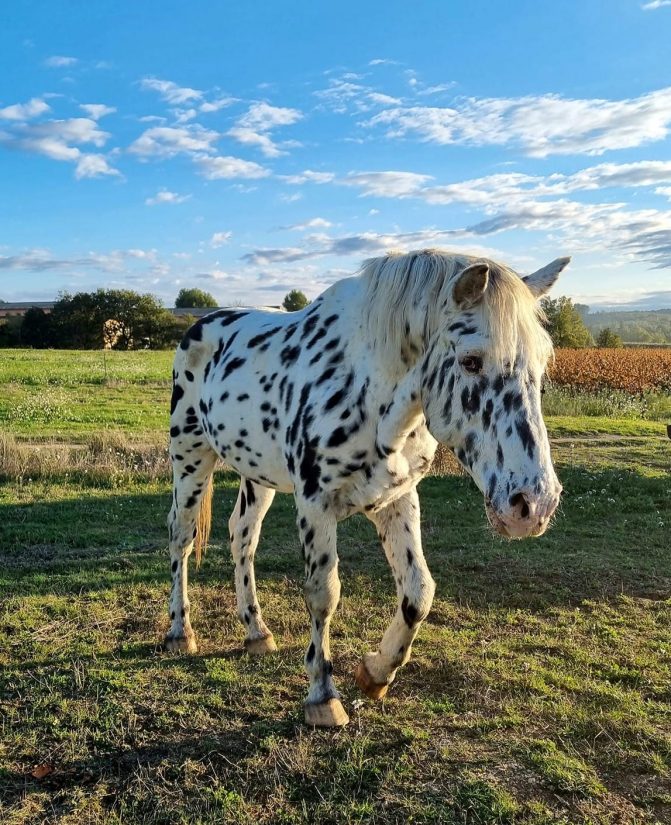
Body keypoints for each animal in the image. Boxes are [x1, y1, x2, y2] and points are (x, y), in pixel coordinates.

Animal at [165, 249, 569, 727]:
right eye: (471, 361)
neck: (370, 393)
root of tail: (202, 324)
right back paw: (179, 631)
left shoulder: (397, 500)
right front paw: (322, 696)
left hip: (257, 475)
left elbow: (419, 591)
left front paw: (376, 673)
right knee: (181, 537)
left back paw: (256, 632)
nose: (534, 505)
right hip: (190, 458)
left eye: (543, 362)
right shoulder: (315, 504)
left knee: (242, 537)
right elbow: (323, 594)